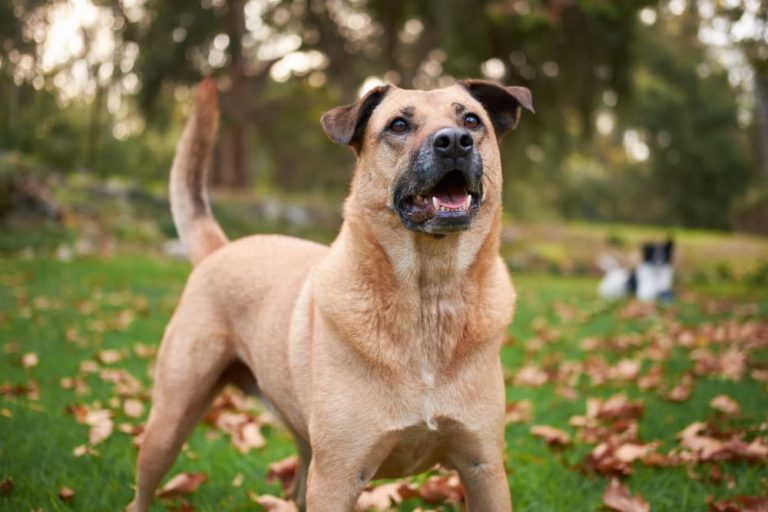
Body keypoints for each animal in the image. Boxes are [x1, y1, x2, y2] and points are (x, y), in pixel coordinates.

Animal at [129, 77, 532, 512]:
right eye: (398, 125)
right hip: (170, 421)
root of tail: (221, 249)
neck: (430, 297)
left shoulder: (484, 469)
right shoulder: (337, 479)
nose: (455, 141)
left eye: (472, 120)